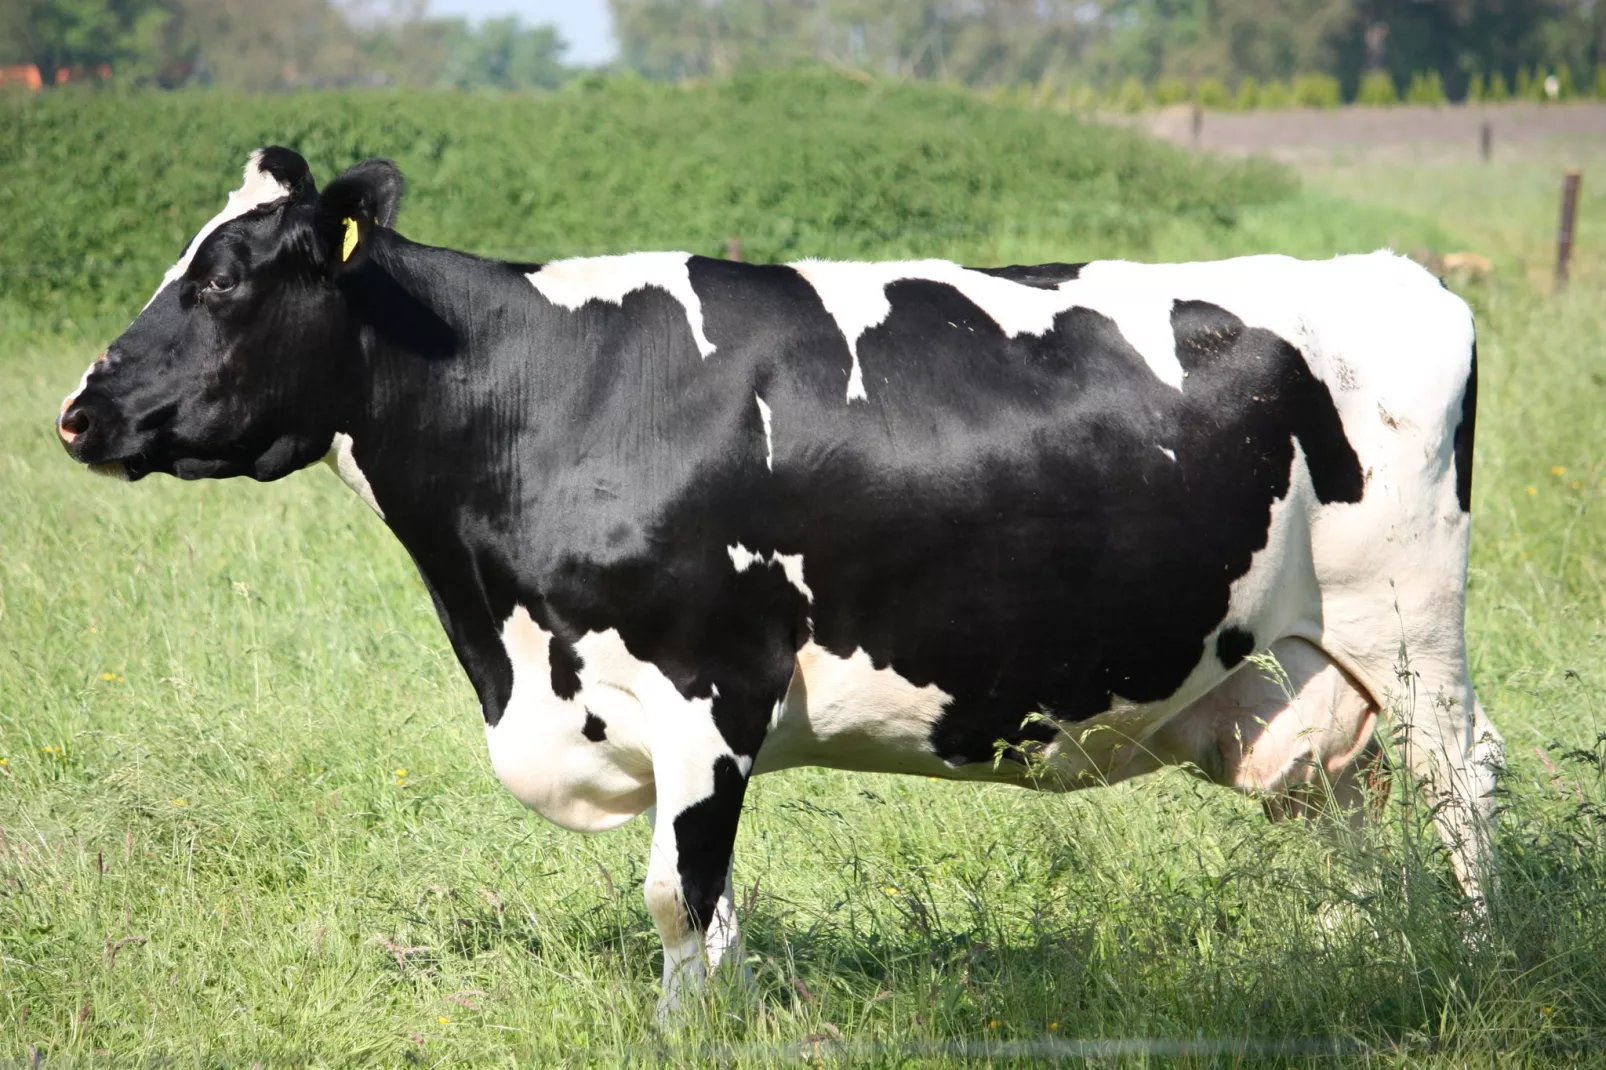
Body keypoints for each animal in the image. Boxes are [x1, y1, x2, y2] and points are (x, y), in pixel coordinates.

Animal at [53, 147, 1503, 1008]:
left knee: (1459, 780)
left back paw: (1470, 955)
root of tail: (1395, 274)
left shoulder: (708, 682)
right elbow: (714, 906)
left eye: (228, 278)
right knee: (1340, 798)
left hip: (1410, 619)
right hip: (1288, 665)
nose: (78, 412)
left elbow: (675, 894)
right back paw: (1347, 958)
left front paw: (683, 1028)